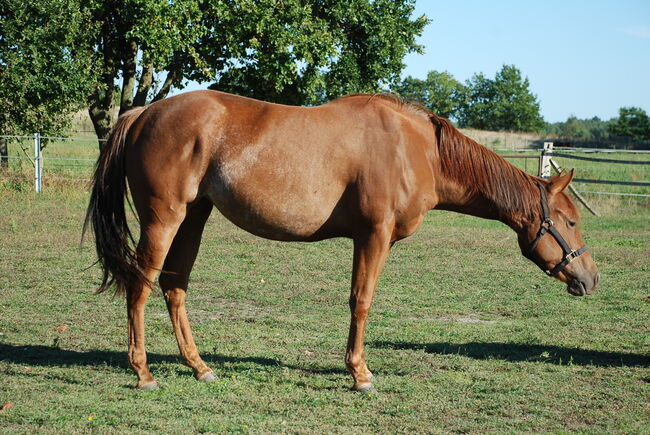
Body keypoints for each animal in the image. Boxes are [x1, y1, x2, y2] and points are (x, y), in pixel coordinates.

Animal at [84, 90, 599, 392]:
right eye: (571, 221)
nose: (591, 278)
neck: (418, 150)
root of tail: (143, 112)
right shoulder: (375, 236)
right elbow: (362, 301)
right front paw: (360, 374)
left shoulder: (365, 238)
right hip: (164, 219)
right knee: (140, 287)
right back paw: (143, 373)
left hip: (193, 218)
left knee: (175, 288)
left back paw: (200, 367)